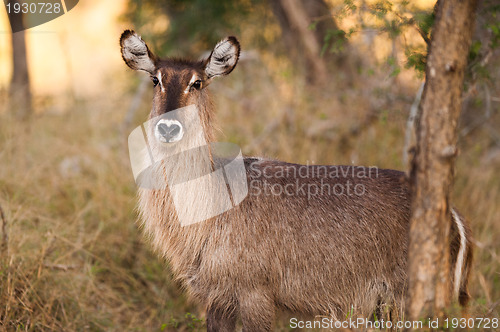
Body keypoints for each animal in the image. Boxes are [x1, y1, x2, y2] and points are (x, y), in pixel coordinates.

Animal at [120, 29, 472, 330]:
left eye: (197, 83)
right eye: (155, 80)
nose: (168, 127)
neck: (212, 206)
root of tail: (454, 215)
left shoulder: (256, 295)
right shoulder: (217, 298)